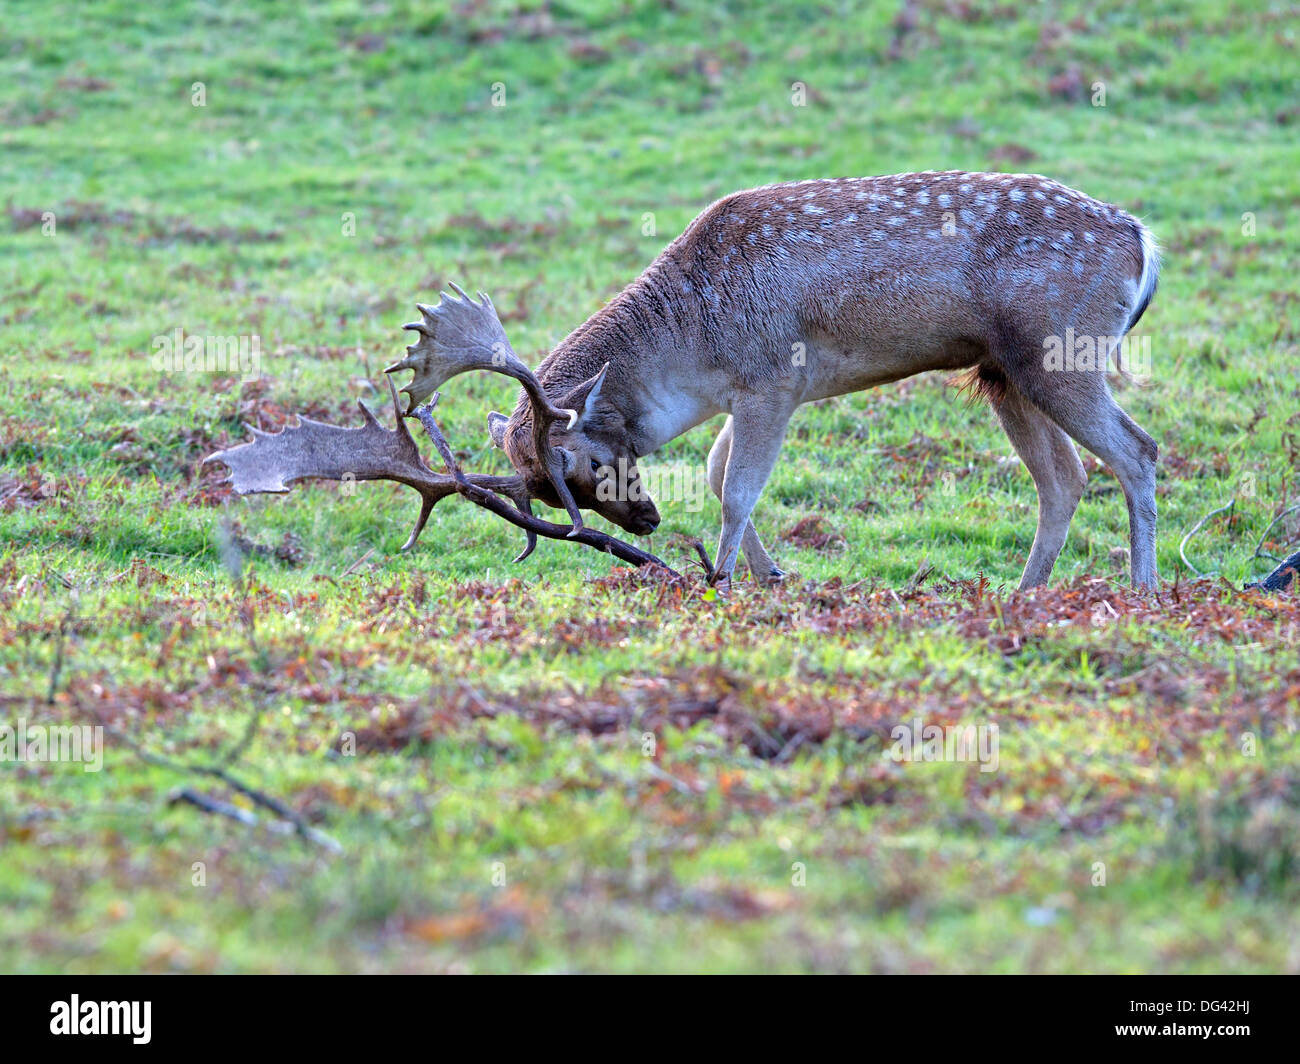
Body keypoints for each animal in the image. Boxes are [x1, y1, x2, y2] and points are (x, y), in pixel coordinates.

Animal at [209, 170, 1161, 590]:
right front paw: (771, 577)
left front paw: (724, 581)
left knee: (1138, 452)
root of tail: (1142, 242)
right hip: (1001, 371)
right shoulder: (747, 392)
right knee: (1065, 480)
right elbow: (713, 472)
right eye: (548, 493)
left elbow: (736, 488)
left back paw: (1142, 592)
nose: (644, 524)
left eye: (584, 466)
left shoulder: (775, 378)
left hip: (1060, 348)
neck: (695, 341)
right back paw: (1024, 595)